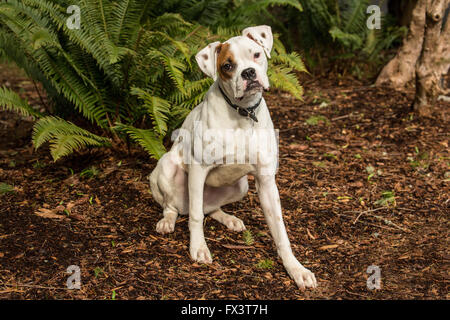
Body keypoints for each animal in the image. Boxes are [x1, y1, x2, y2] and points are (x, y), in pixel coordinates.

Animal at [149, 25, 318, 290]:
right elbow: (195, 217)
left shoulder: (265, 181)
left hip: (241, 186)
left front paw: (295, 268)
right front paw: (198, 248)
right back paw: (168, 220)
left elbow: (280, 229)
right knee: (175, 207)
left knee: (209, 207)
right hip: (167, 167)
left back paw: (229, 219)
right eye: (227, 66)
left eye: (256, 54)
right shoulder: (198, 169)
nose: (248, 73)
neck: (243, 113)